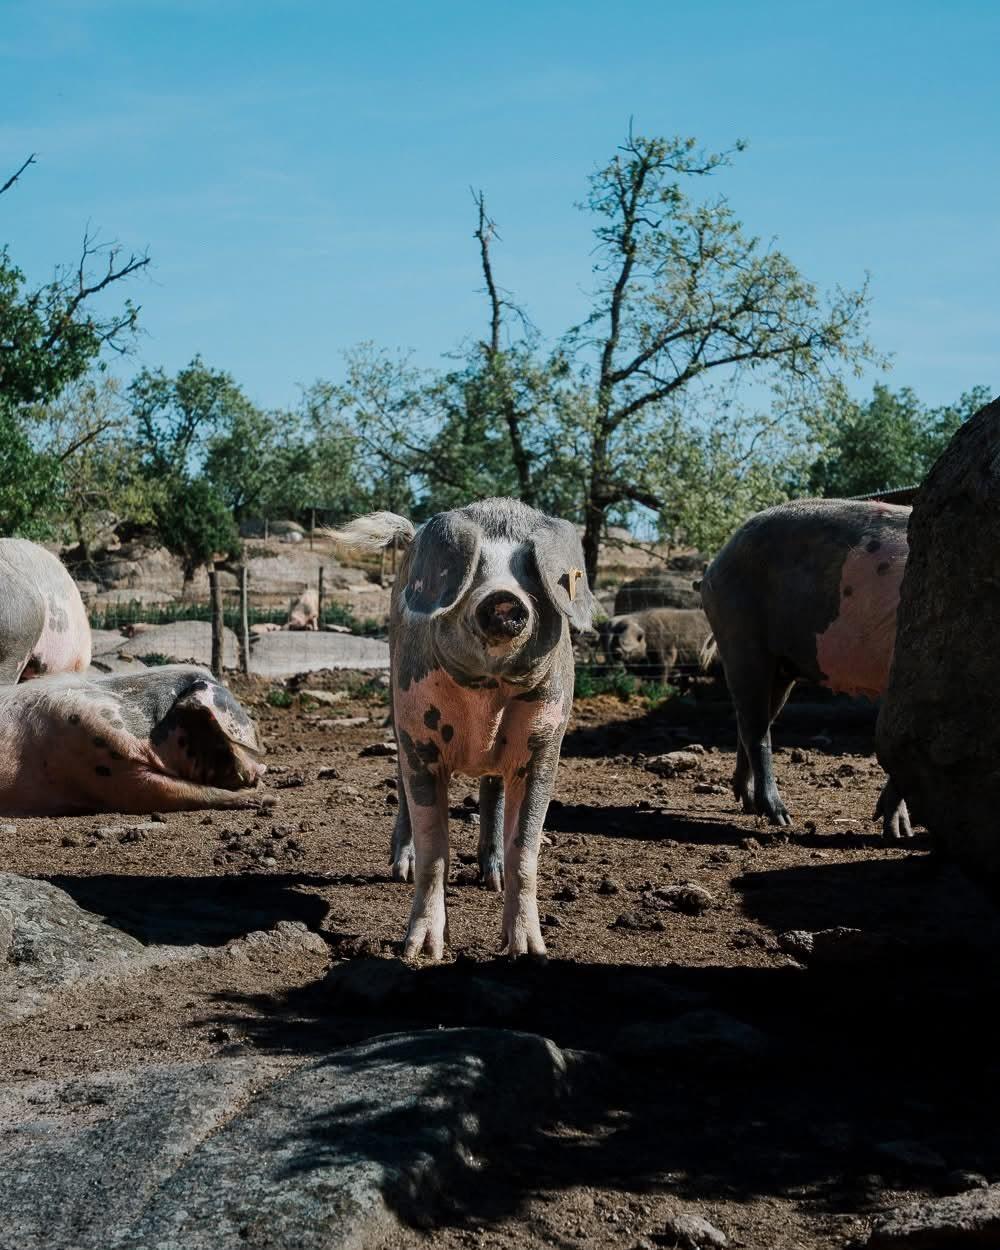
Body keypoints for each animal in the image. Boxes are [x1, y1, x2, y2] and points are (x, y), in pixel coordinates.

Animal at [329, 499, 594, 960]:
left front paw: (529, 953)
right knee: (402, 788)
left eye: (530, 571)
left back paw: (492, 878)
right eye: (474, 569)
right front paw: (420, 952)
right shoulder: (420, 737)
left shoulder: (545, 745)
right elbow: (435, 848)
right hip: (397, 710)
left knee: (492, 792)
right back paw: (400, 869)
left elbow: (526, 848)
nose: (504, 599)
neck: (485, 699)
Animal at [700, 499, 912, 838]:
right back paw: (780, 817)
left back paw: (748, 804)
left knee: (751, 721)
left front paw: (902, 831)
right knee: (756, 728)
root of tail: (718, 560)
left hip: (782, 667)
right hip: (740, 635)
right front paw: (899, 834)